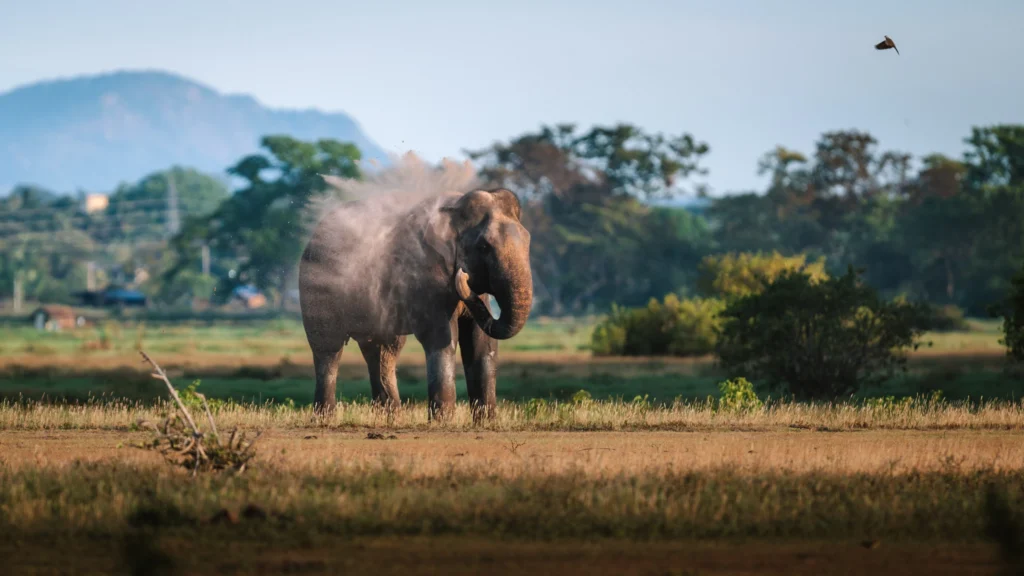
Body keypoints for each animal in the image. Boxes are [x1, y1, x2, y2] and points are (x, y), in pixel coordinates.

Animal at [298, 186, 533, 421]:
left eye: (528, 241)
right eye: (483, 246)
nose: (462, 276)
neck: (454, 210)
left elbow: (481, 343)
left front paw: (486, 422)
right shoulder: (423, 274)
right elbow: (441, 336)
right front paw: (442, 422)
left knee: (383, 351)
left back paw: (390, 419)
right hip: (317, 287)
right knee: (328, 350)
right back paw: (325, 419)